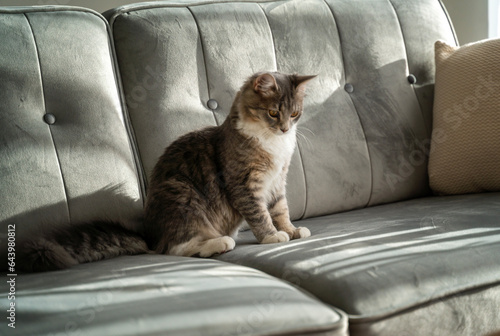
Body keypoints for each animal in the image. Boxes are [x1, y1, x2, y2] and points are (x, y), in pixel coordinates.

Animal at [21, 72, 316, 272]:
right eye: (273, 113)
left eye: (295, 114)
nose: (285, 129)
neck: (273, 144)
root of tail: (150, 236)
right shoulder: (243, 184)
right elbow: (260, 214)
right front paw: (272, 235)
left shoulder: (277, 182)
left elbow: (280, 209)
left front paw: (291, 230)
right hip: (183, 196)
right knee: (174, 249)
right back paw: (218, 243)